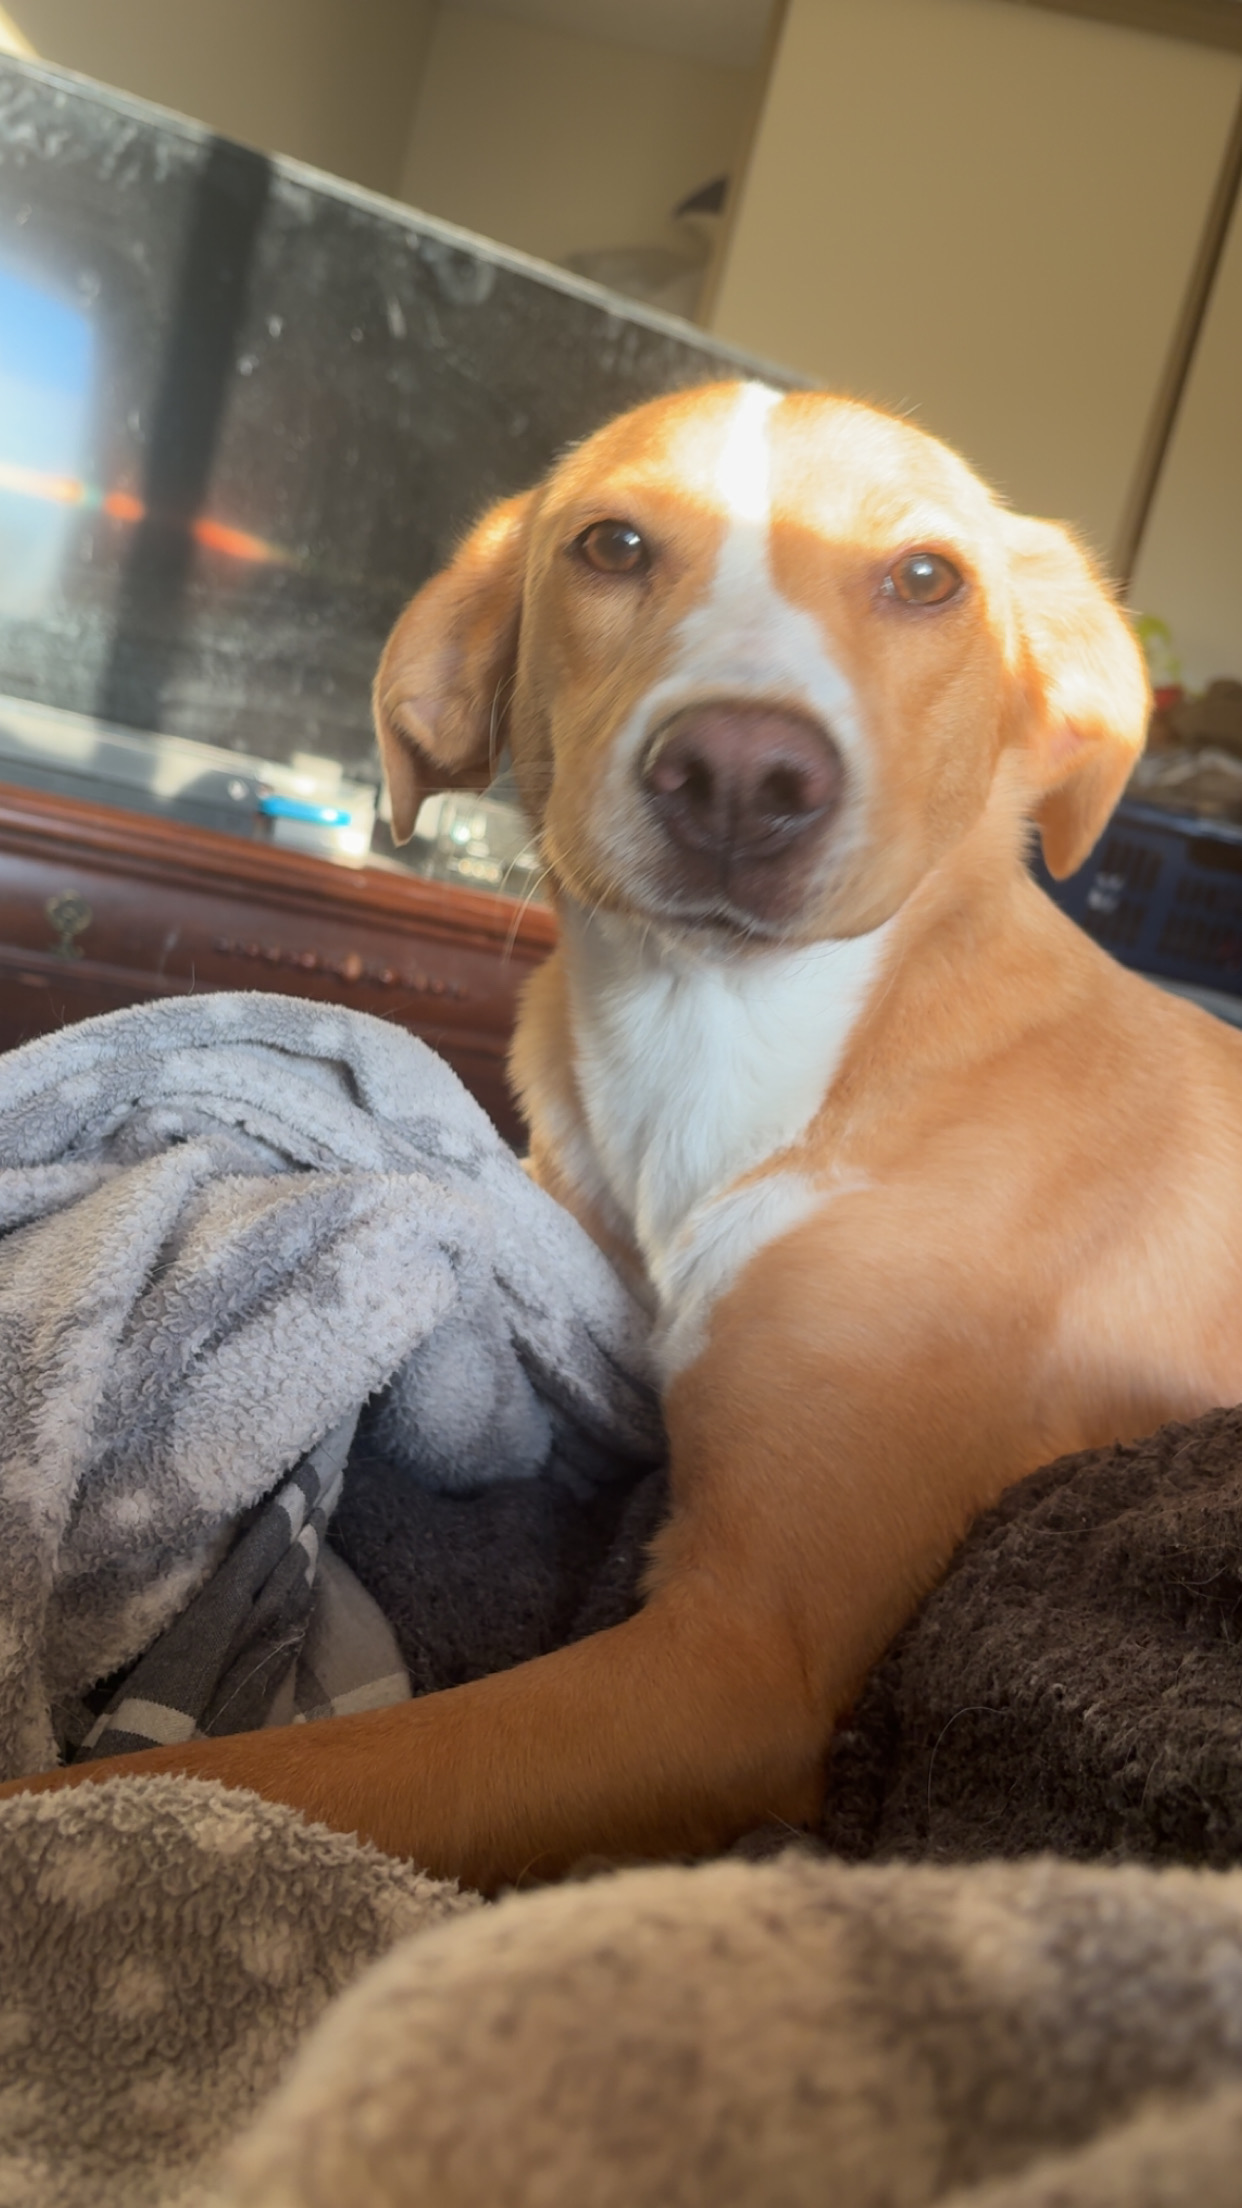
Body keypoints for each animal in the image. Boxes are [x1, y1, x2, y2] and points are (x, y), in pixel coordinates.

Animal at [7, 379, 1242, 1891]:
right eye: (612, 545)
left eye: (925, 578)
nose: (740, 775)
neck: (718, 1041)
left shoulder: (744, 1654)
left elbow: (249, 1776)